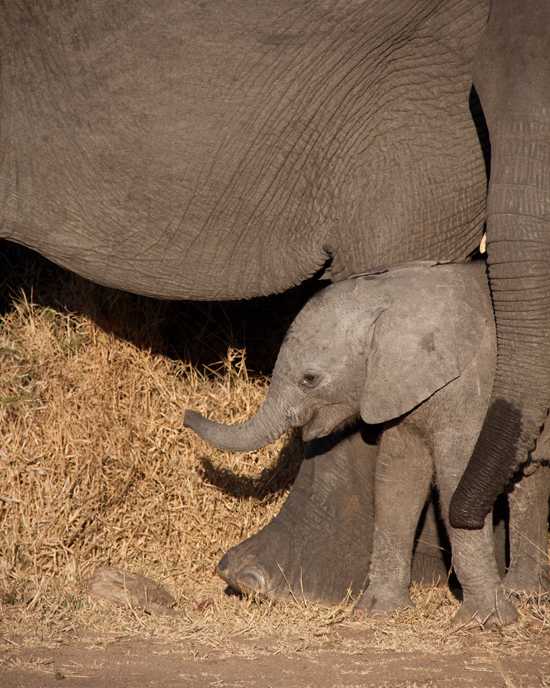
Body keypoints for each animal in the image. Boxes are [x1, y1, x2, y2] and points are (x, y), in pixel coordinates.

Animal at [187, 260, 550, 628]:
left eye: (309, 379)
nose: (188, 415)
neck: (393, 300)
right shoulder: (397, 387)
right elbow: (398, 479)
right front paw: (378, 611)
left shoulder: (468, 387)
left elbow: (455, 476)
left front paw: (484, 621)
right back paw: (525, 592)